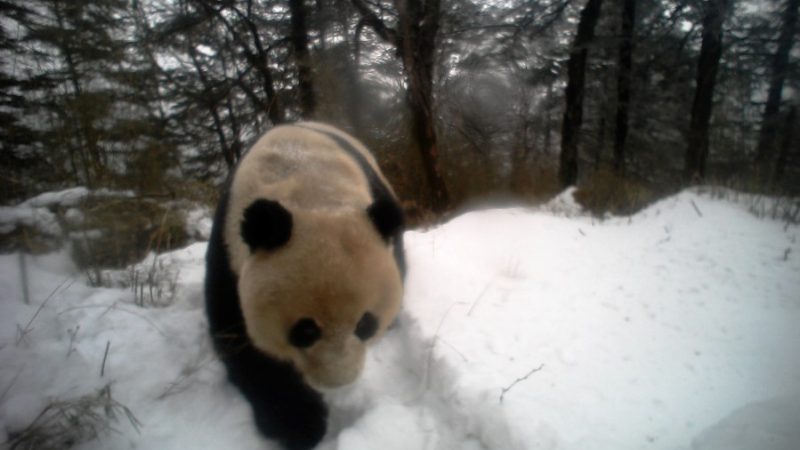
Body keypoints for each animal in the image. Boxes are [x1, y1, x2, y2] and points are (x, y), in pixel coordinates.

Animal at [205, 121, 406, 448]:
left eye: (365, 324)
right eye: (305, 330)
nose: (339, 381)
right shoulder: (227, 250)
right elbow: (240, 339)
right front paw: (300, 424)